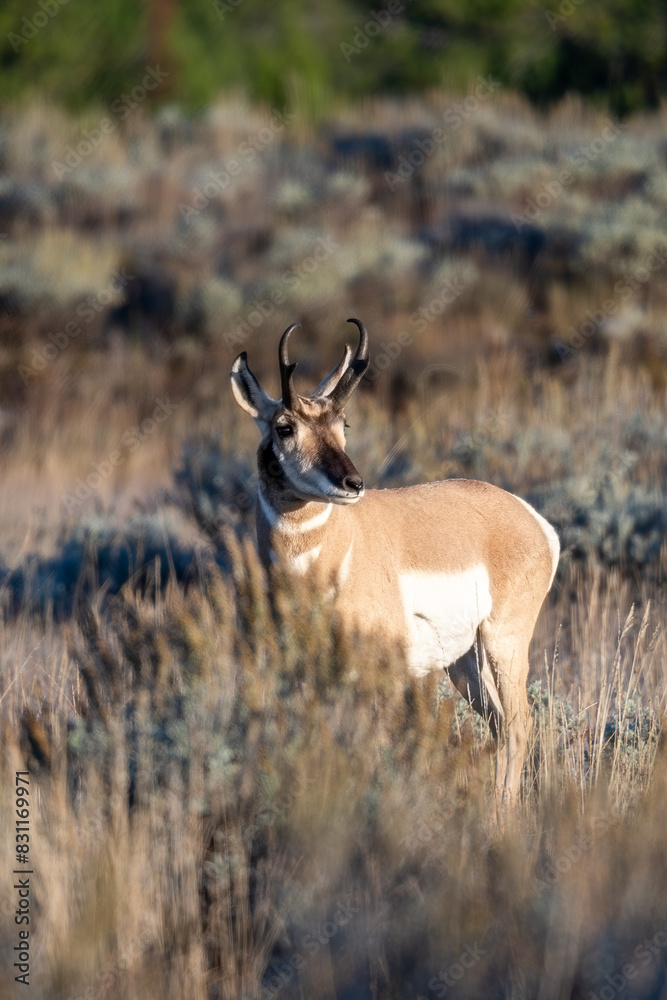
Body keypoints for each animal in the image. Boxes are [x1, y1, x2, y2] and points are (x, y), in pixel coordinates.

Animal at [230, 319, 560, 803]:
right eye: (284, 427)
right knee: (499, 726)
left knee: (518, 727)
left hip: (504, 644)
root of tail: (531, 517)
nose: (353, 482)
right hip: (464, 662)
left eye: (343, 422)